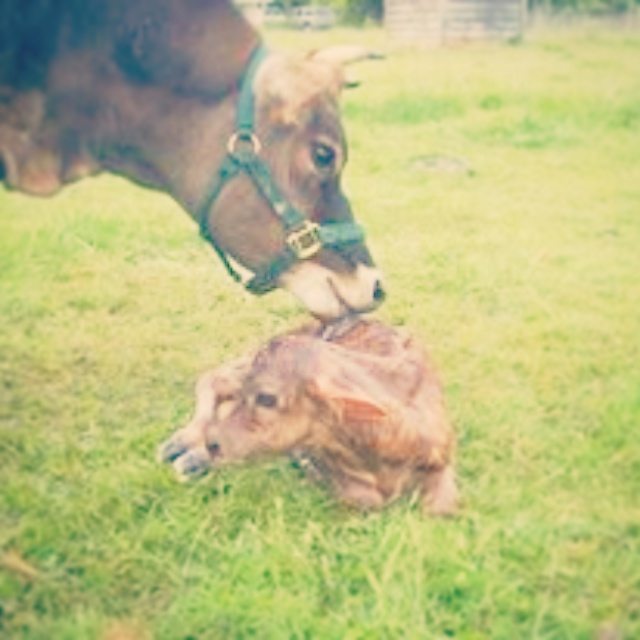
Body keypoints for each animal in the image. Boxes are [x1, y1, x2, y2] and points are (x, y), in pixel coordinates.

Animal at [159, 318, 459, 516]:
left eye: (267, 398)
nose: (213, 443)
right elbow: (364, 499)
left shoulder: (441, 458)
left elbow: (443, 508)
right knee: (213, 378)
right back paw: (182, 449)